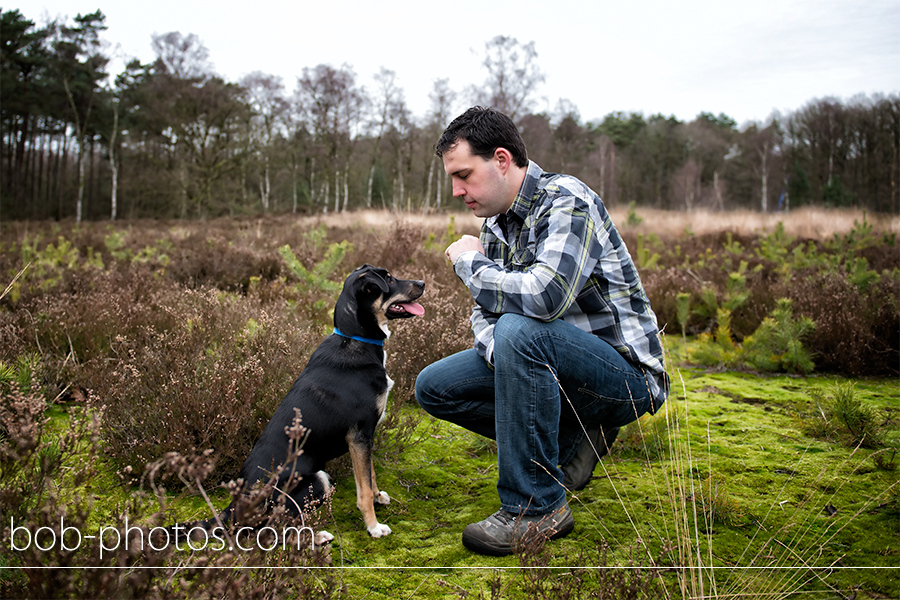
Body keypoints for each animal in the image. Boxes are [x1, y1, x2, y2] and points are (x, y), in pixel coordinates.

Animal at [181, 264, 428, 540]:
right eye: (388, 279)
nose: (423, 283)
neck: (356, 339)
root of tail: (235, 506)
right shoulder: (359, 435)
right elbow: (363, 488)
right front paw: (373, 526)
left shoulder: (366, 436)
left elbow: (371, 474)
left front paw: (378, 497)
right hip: (318, 480)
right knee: (270, 530)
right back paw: (315, 537)